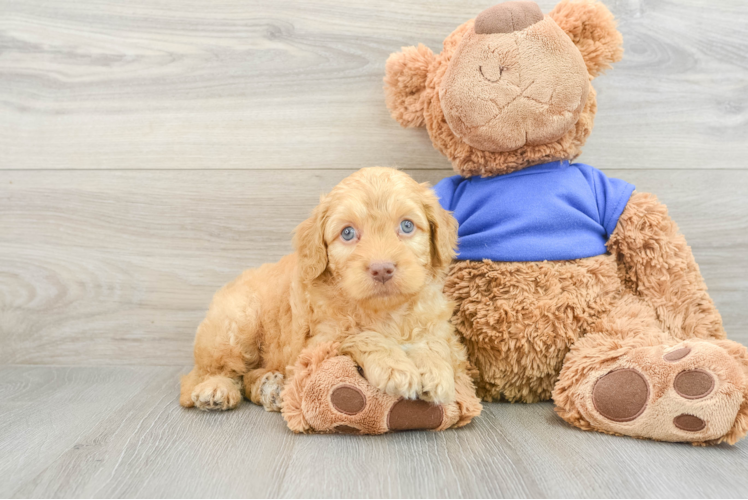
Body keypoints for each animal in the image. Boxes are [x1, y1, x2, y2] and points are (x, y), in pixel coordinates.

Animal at [180, 166, 468, 412]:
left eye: (407, 225)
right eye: (348, 233)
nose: (382, 269)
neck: (386, 312)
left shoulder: (438, 324)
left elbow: (434, 341)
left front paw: (435, 370)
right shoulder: (321, 340)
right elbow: (362, 335)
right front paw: (395, 367)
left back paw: (270, 388)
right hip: (235, 324)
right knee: (206, 373)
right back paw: (216, 389)